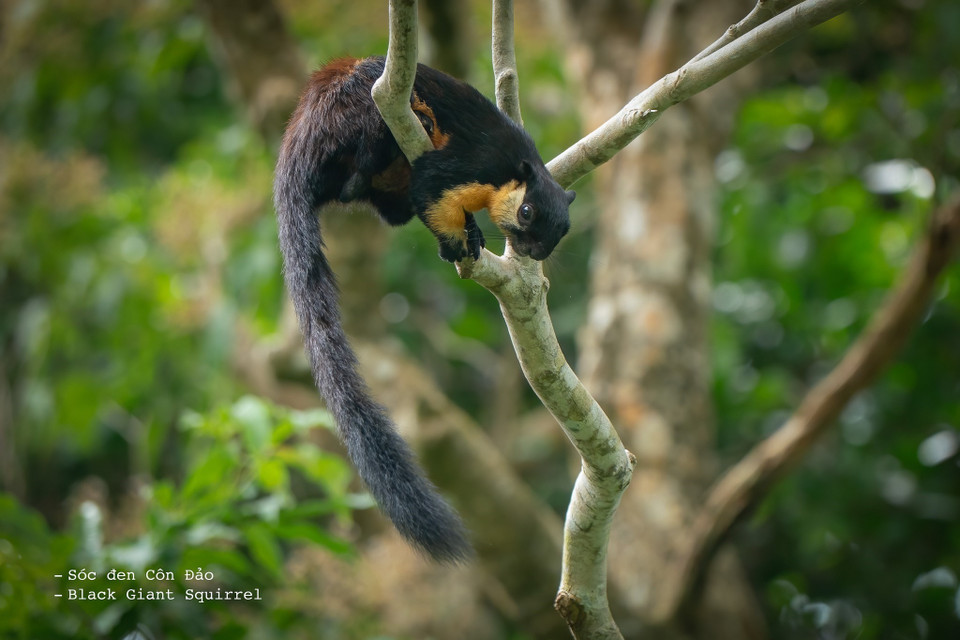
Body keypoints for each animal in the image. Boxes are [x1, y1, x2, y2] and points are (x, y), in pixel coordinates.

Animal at [273, 55, 575, 562]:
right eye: (528, 213)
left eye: (560, 233)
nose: (533, 250)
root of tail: (299, 137)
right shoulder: (468, 166)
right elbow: (432, 191)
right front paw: (457, 243)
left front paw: (471, 235)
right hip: (361, 116)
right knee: (361, 172)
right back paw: (419, 119)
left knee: (376, 200)